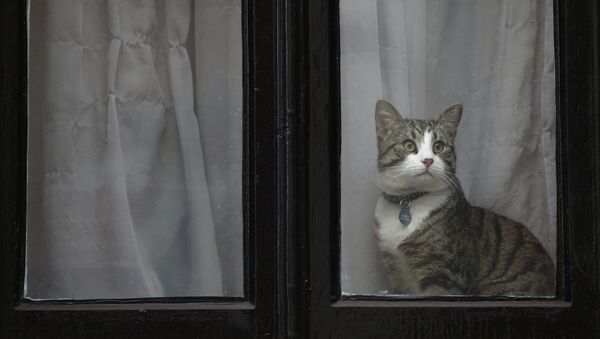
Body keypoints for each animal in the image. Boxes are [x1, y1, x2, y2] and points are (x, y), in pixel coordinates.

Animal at [372, 100, 556, 298]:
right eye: (408, 145)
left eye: (438, 147)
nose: (428, 160)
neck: (408, 201)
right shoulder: (395, 272)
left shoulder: (442, 272)